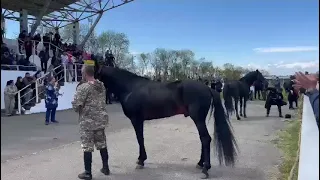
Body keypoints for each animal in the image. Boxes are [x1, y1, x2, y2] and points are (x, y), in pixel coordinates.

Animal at [95, 64, 238, 179]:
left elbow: (140, 139)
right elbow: (141, 138)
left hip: (198, 118)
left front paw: (141, 161)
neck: (130, 87)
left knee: (205, 139)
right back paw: (199, 164)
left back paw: (205, 169)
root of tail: (208, 88)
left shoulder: (136, 120)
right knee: (203, 139)